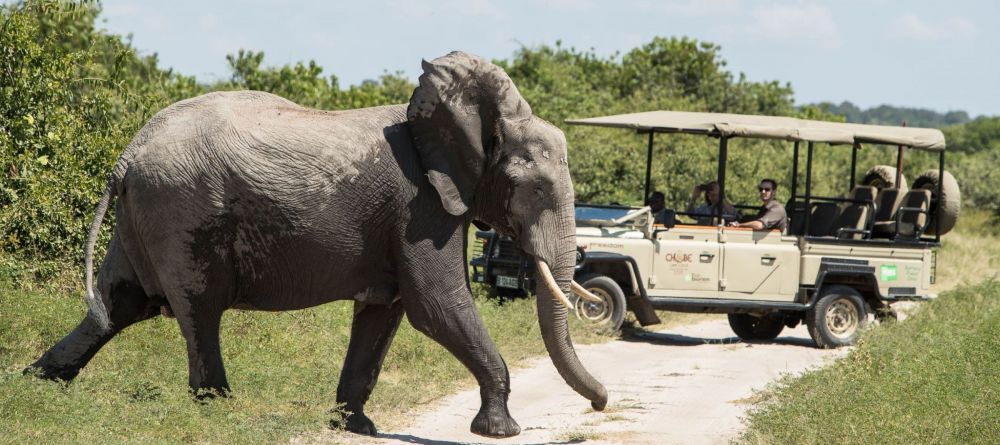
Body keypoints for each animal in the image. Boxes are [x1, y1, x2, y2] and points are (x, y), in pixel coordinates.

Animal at [27, 52, 608, 438]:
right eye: (536, 189)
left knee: (119, 303)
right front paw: (501, 431)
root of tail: (129, 151)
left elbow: (383, 312)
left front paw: (357, 427)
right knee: (197, 309)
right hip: (179, 208)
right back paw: (219, 409)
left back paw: (36, 383)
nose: (601, 403)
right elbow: (436, 304)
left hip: (144, 214)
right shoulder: (419, 206)